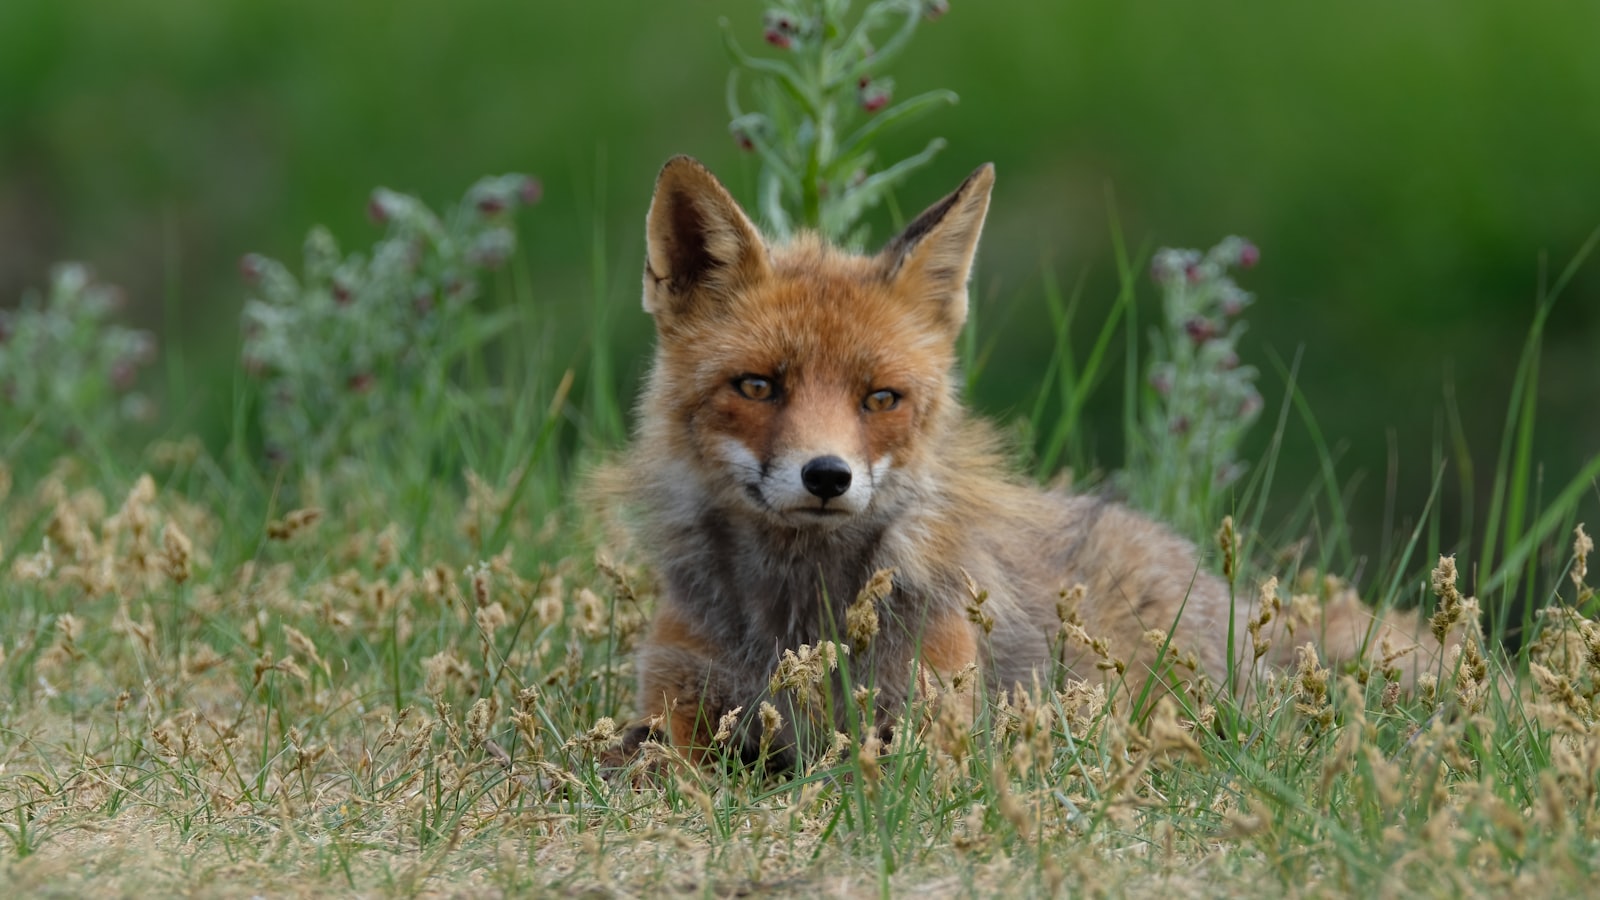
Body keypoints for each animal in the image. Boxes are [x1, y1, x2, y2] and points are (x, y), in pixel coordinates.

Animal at [601, 153, 1452, 762]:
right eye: (758, 385)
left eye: (881, 399)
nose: (827, 476)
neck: (792, 621)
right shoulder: (677, 700)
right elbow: (645, 760)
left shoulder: (929, 726)